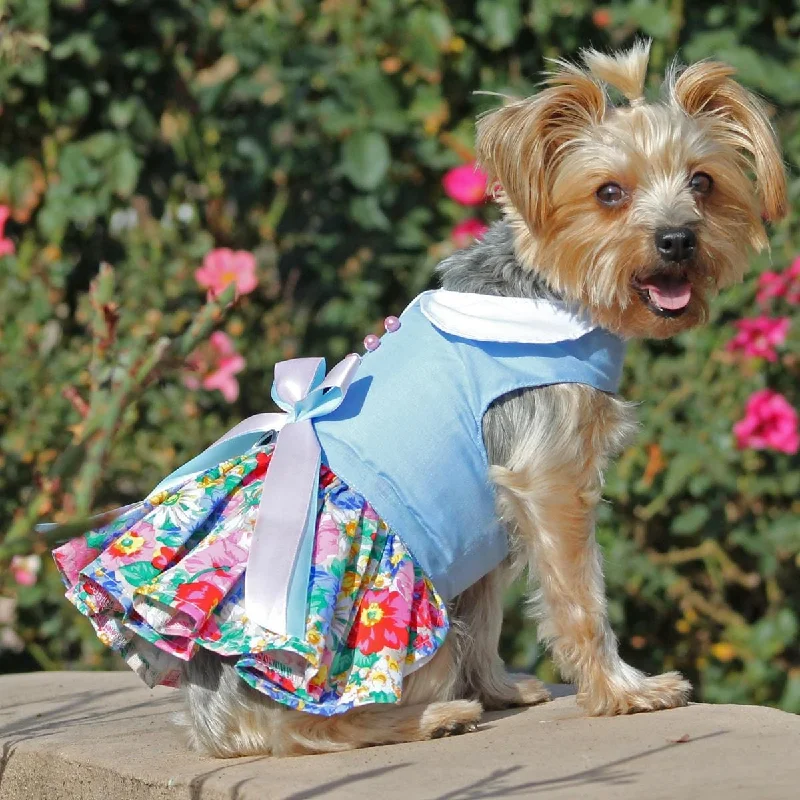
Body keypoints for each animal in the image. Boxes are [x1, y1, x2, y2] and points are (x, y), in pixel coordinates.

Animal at [183, 42, 788, 756]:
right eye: (609, 193)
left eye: (702, 183)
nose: (677, 240)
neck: (554, 290)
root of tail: (217, 722)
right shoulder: (549, 479)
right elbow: (580, 599)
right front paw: (624, 692)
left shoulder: (480, 514)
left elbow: (486, 606)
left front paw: (500, 687)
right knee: (308, 724)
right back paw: (433, 716)